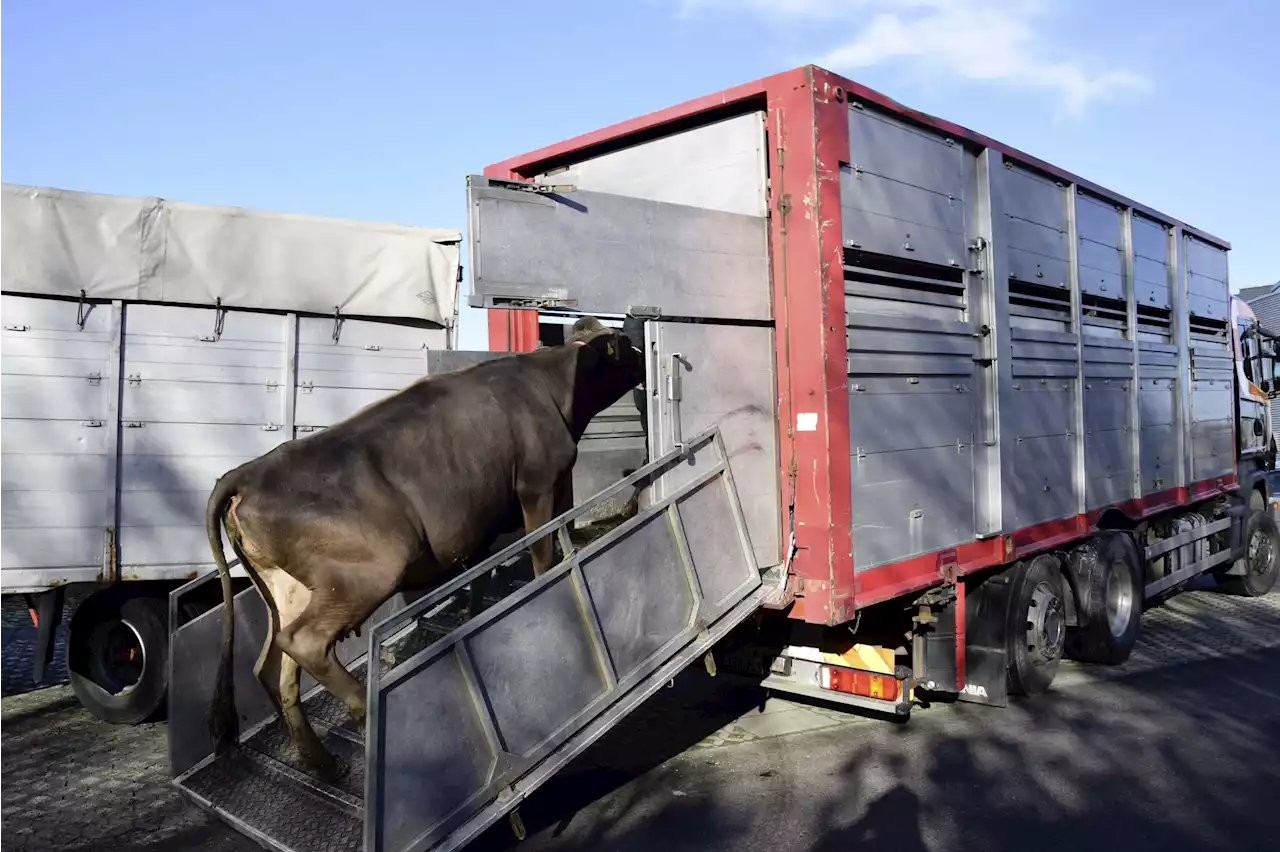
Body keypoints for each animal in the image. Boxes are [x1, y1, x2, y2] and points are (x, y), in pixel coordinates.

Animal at [208, 317, 645, 777]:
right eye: (626, 343)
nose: (640, 360)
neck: (552, 384)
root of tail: (249, 471)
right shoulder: (538, 484)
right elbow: (542, 552)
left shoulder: (489, 516)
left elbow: (481, 574)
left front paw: (474, 614)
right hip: (372, 567)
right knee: (302, 642)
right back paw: (364, 712)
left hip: (289, 588)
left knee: (273, 666)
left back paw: (323, 763)